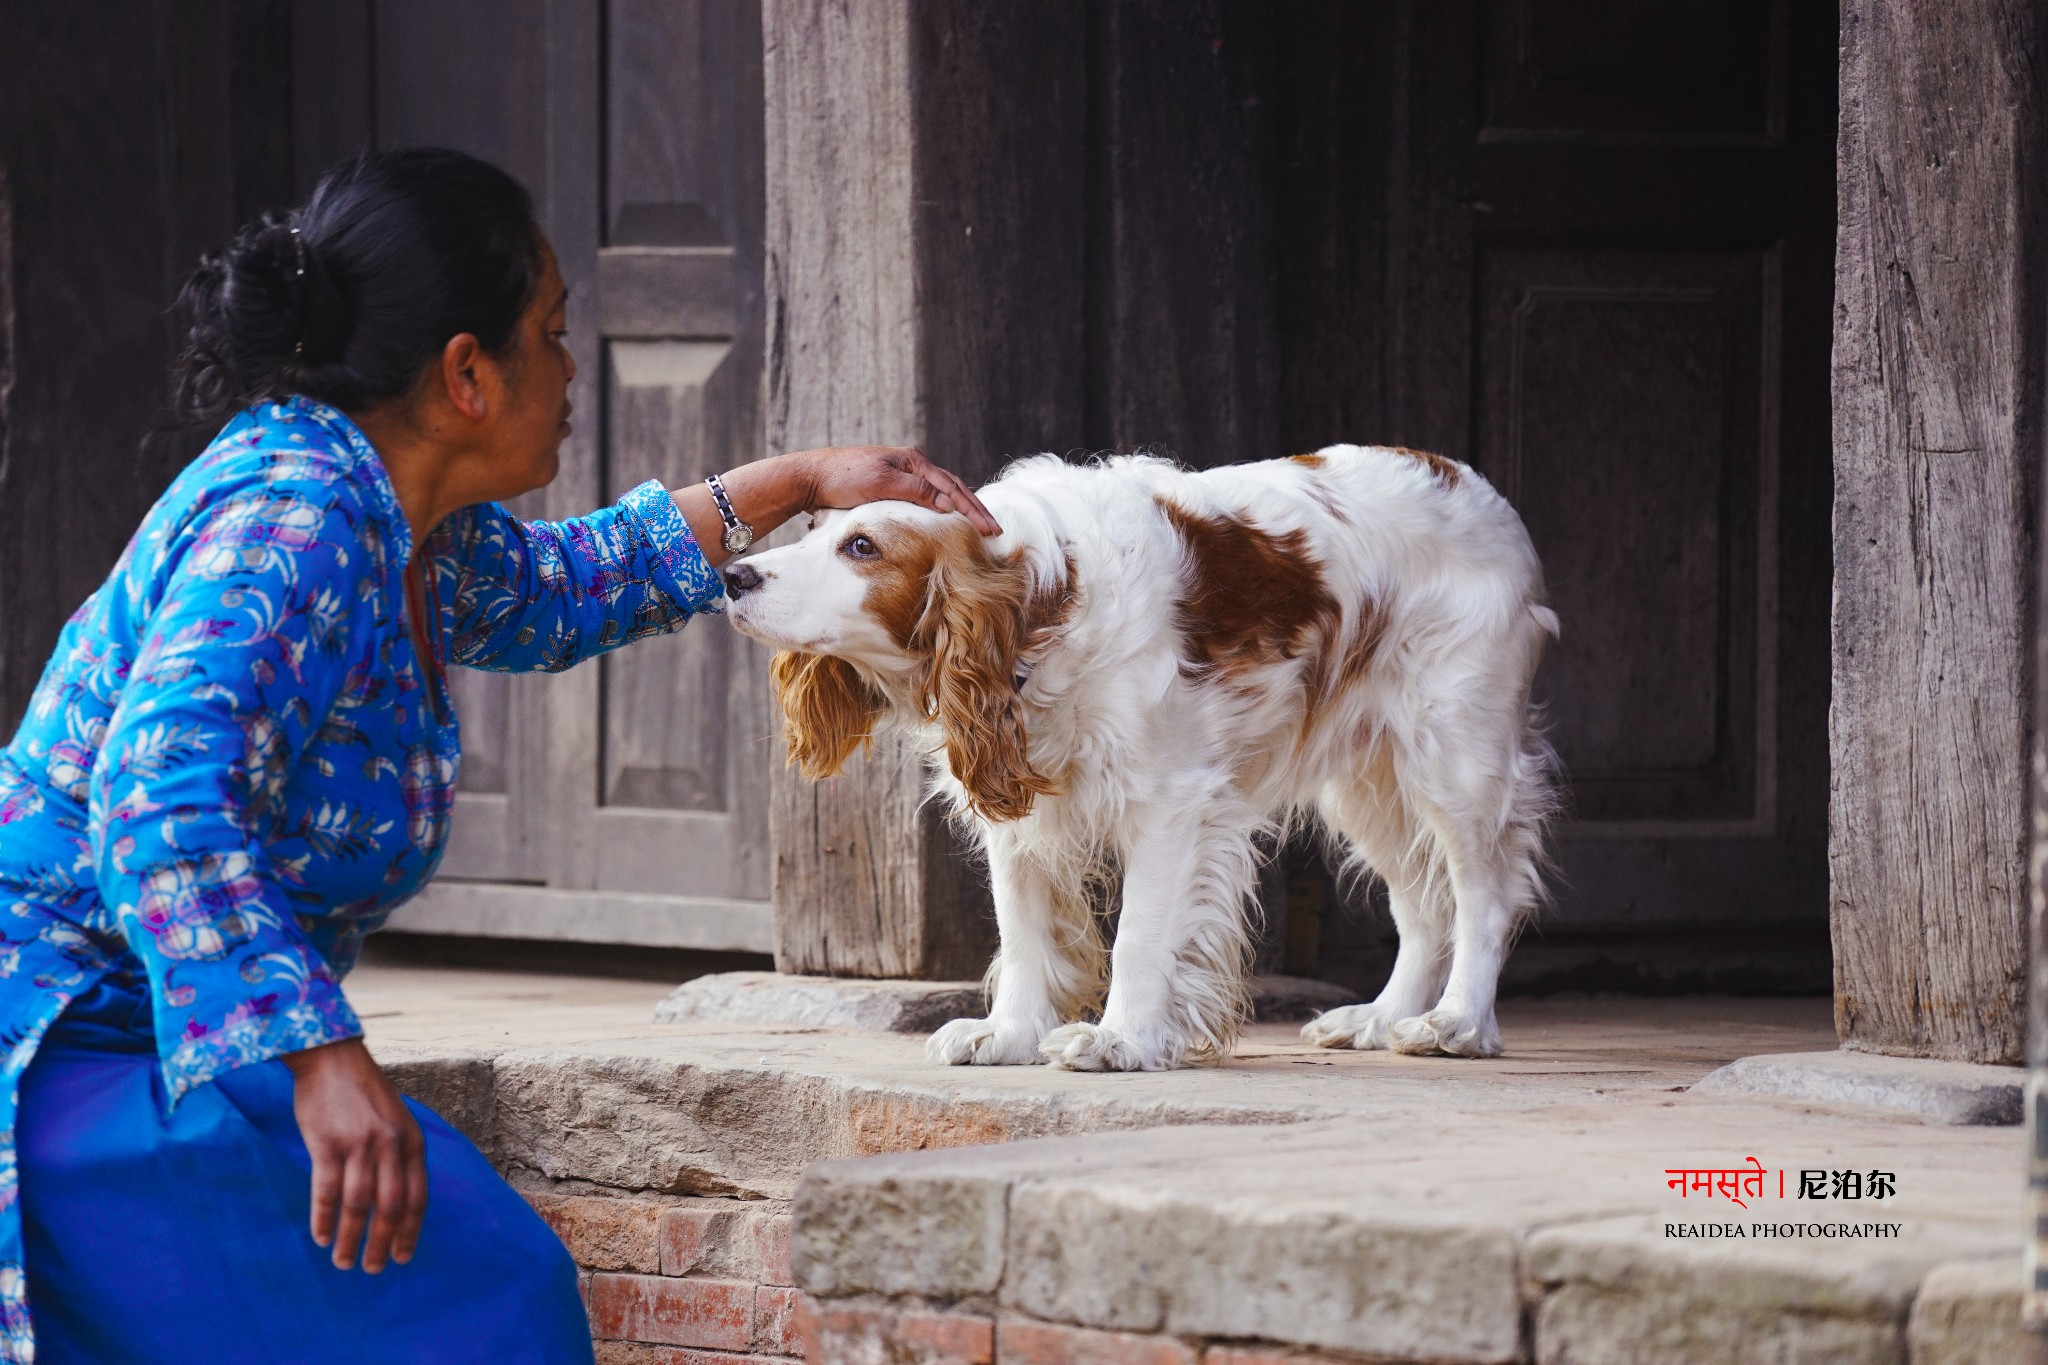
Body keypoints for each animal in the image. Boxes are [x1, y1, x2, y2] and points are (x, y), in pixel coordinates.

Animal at [729, 446, 1556, 1064]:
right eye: (812, 526)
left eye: (862, 547)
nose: (733, 575)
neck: (1039, 609)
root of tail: (1477, 486)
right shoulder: (1016, 807)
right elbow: (1022, 931)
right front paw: (1010, 1032)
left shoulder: (1171, 802)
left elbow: (1138, 937)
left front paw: (1120, 1037)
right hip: (1369, 780)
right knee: (1421, 906)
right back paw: (1384, 1017)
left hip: (1455, 756)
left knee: (1482, 895)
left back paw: (1459, 1023)